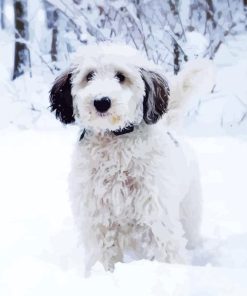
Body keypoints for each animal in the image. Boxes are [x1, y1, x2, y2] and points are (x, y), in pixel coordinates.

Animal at [49, 42, 213, 272]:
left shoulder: (157, 216)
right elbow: (103, 256)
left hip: (189, 211)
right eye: (89, 76)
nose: (101, 102)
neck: (115, 140)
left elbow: (167, 251)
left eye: (121, 76)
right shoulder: (98, 220)